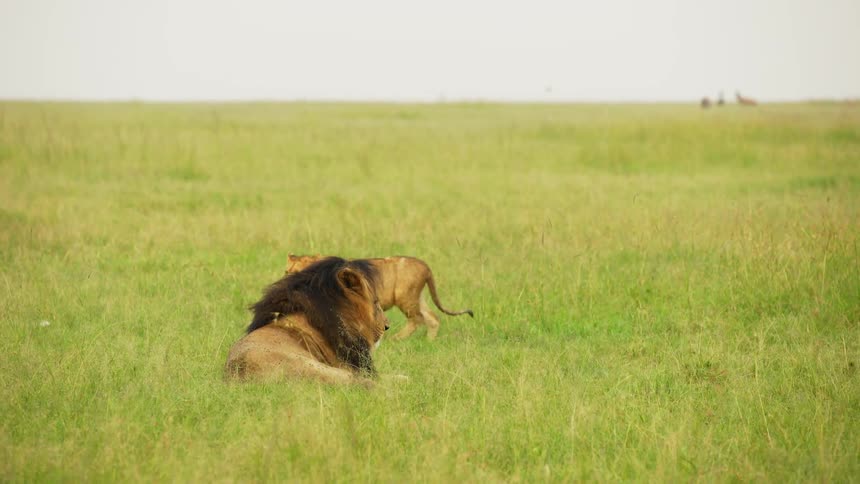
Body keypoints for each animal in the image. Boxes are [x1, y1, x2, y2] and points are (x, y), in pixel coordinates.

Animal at [286, 254, 473, 341]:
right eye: (288, 272)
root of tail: (425, 265)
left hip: (405, 297)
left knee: (417, 319)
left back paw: (396, 339)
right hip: (416, 297)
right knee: (432, 318)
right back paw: (429, 342)